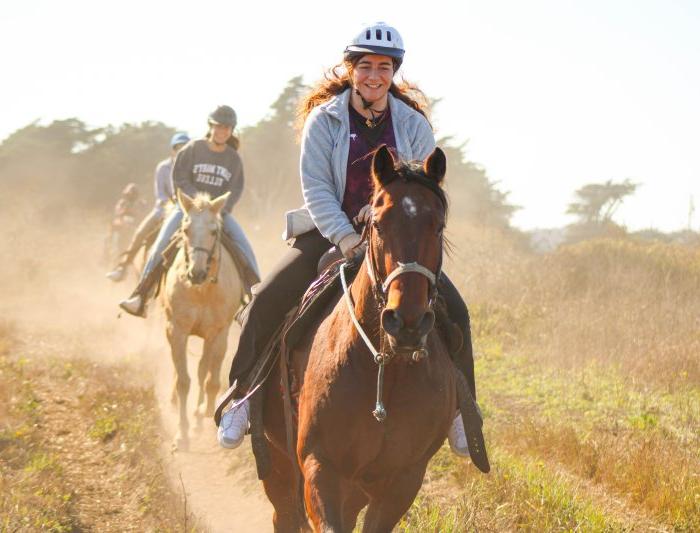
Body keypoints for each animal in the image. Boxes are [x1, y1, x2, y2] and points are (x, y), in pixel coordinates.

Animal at [164, 191, 243, 448]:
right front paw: (182, 434)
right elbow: (183, 381)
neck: (202, 291)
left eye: (213, 231)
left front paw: (203, 415)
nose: (196, 273)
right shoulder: (176, 331)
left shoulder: (218, 333)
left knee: (203, 370)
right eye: (186, 229)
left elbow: (210, 380)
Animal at [262, 145, 460, 532]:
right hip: (279, 464)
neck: (386, 370)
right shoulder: (320, 467)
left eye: (438, 225)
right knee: (284, 514)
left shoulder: (403, 479)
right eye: (378, 224)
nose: (407, 321)